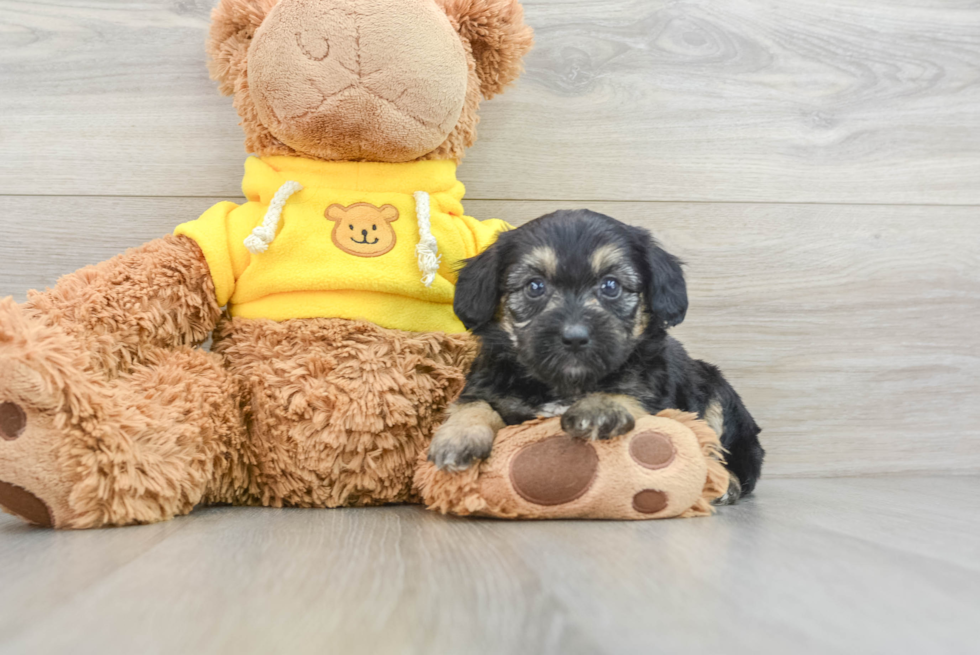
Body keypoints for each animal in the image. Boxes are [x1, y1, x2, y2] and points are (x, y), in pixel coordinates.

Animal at [428, 209, 764, 502]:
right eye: (535, 286)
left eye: (610, 285)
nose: (575, 337)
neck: (567, 384)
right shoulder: (488, 385)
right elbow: (472, 404)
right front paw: (457, 437)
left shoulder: (655, 394)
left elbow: (630, 393)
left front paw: (599, 408)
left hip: (718, 392)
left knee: (732, 458)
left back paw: (725, 483)